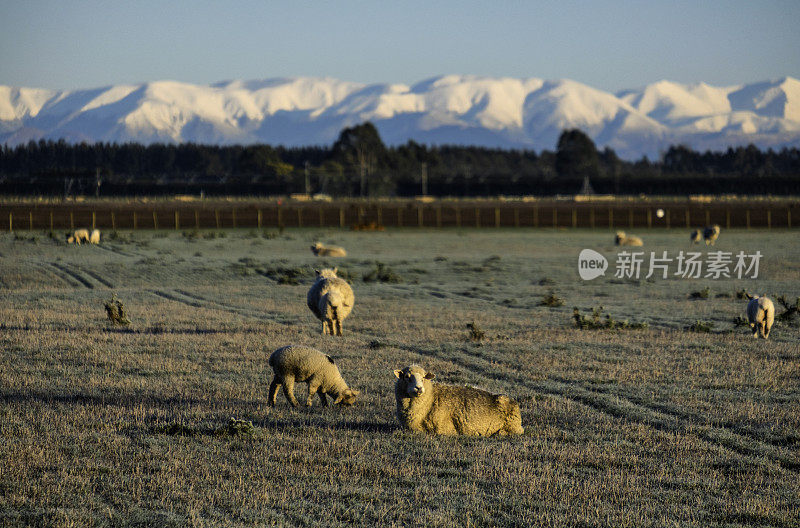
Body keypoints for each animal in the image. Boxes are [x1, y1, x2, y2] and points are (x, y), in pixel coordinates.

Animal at [392, 364, 524, 438]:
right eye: (406, 377)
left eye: (424, 377)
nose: (419, 388)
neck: (431, 399)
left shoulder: (444, 430)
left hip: (512, 426)